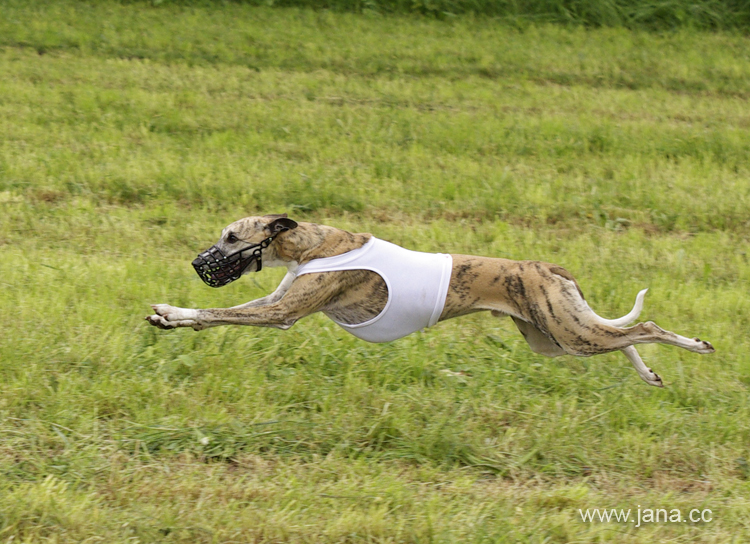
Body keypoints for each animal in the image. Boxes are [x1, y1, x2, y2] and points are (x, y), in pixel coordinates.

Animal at [147, 212, 716, 386]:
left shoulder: (280, 313)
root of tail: (548, 268)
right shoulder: (277, 304)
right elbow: (216, 314)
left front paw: (174, 311)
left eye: (231, 237)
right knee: (624, 337)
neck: (312, 245)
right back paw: (650, 375)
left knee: (645, 328)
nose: (196, 264)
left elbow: (217, 313)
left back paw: (697, 346)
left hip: (567, 331)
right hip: (553, 338)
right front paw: (169, 316)